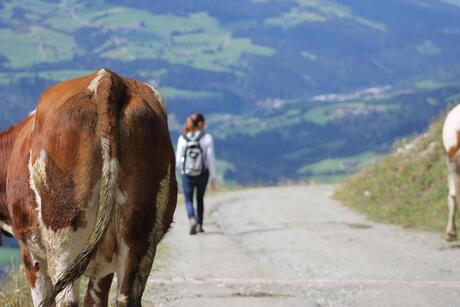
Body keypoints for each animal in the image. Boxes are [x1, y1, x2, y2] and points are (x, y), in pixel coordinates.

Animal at [0, 68, 177, 306]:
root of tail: (107, 79)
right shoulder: (104, 266)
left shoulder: (30, 254)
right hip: (141, 234)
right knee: (127, 296)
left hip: (63, 232)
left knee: (66, 298)